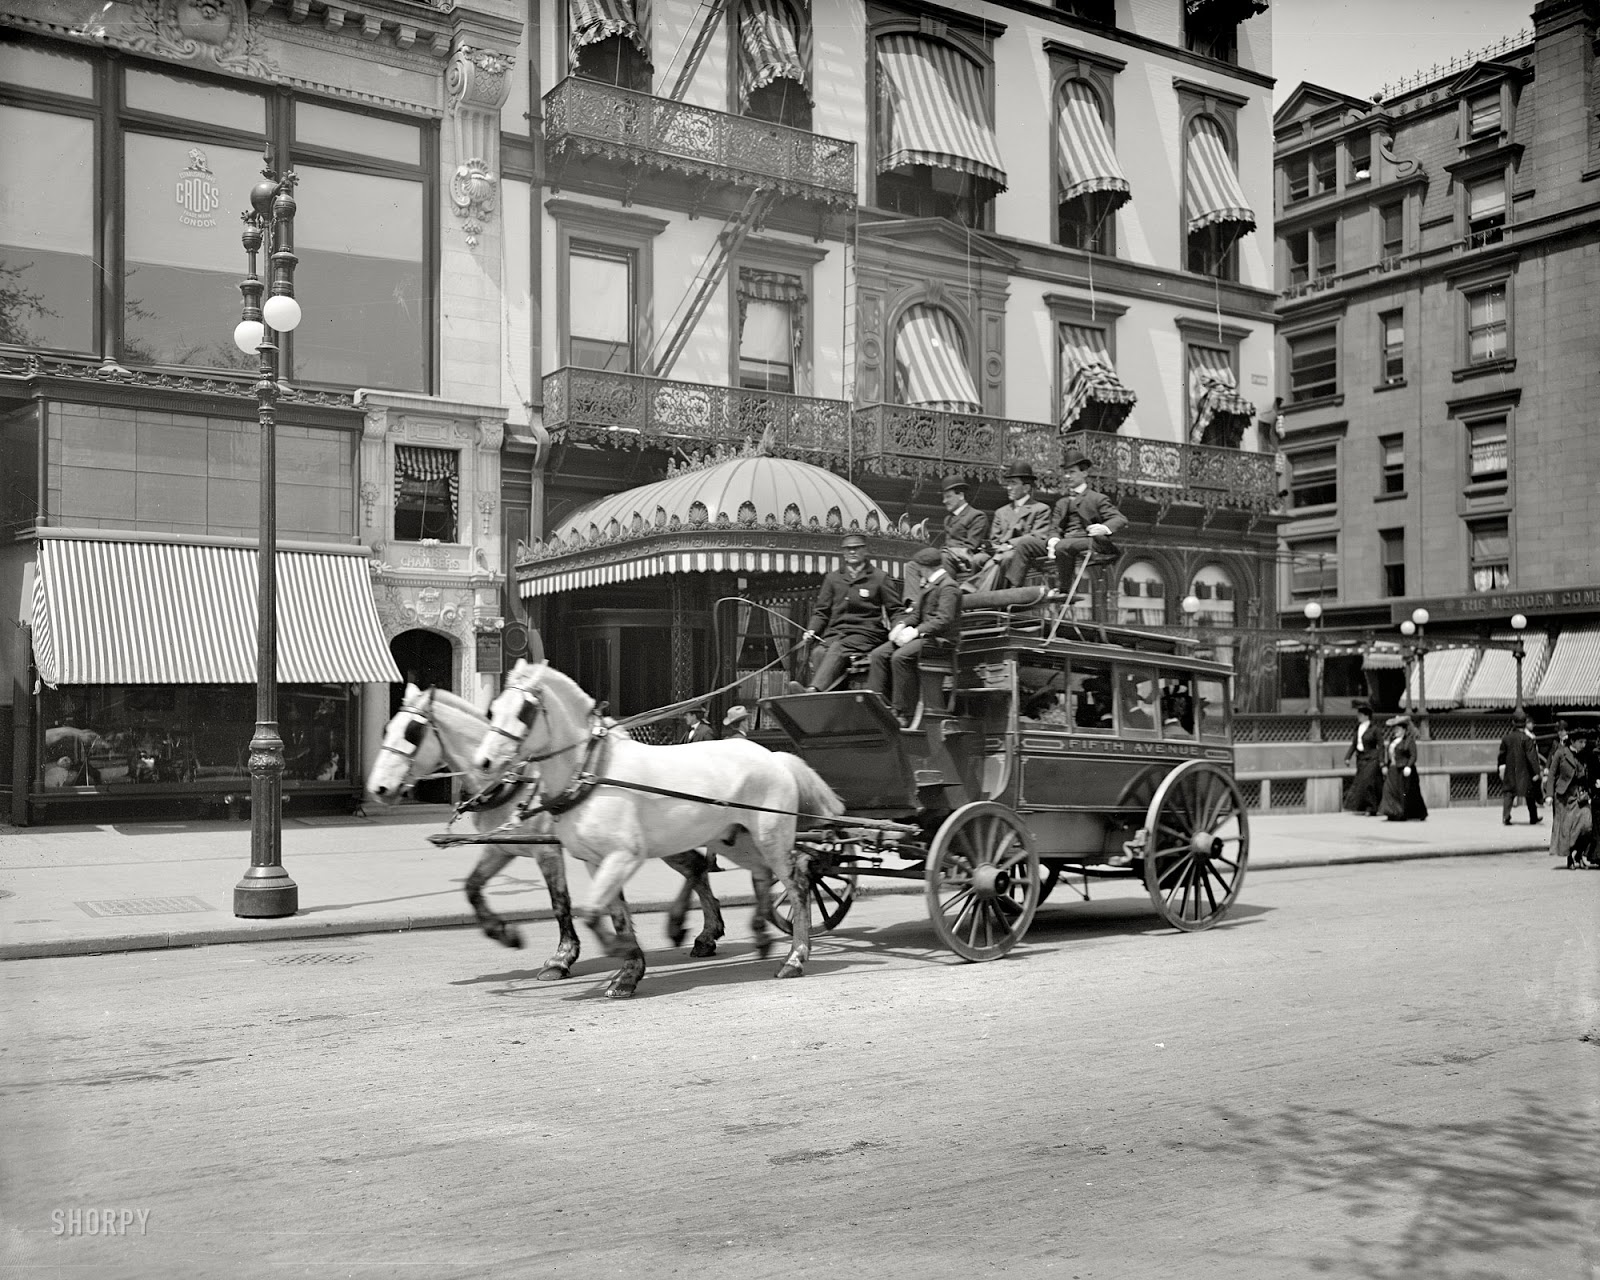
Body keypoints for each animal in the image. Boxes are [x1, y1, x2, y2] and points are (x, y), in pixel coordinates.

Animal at [366, 691, 729, 979]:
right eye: (387, 728)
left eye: (412, 732)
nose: (378, 788)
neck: (509, 782)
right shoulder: (502, 847)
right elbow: (472, 887)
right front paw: (503, 933)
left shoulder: (547, 851)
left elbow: (560, 903)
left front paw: (561, 957)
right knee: (695, 867)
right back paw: (705, 934)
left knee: (695, 867)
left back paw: (697, 930)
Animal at [473, 659, 844, 998]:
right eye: (494, 708)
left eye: (524, 710)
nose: (484, 762)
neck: (593, 772)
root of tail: (774, 755)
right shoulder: (598, 860)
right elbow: (615, 914)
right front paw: (627, 973)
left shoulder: (623, 855)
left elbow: (591, 913)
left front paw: (614, 954)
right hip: (735, 841)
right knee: (763, 875)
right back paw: (760, 934)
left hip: (770, 836)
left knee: (797, 884)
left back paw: (795, 957)